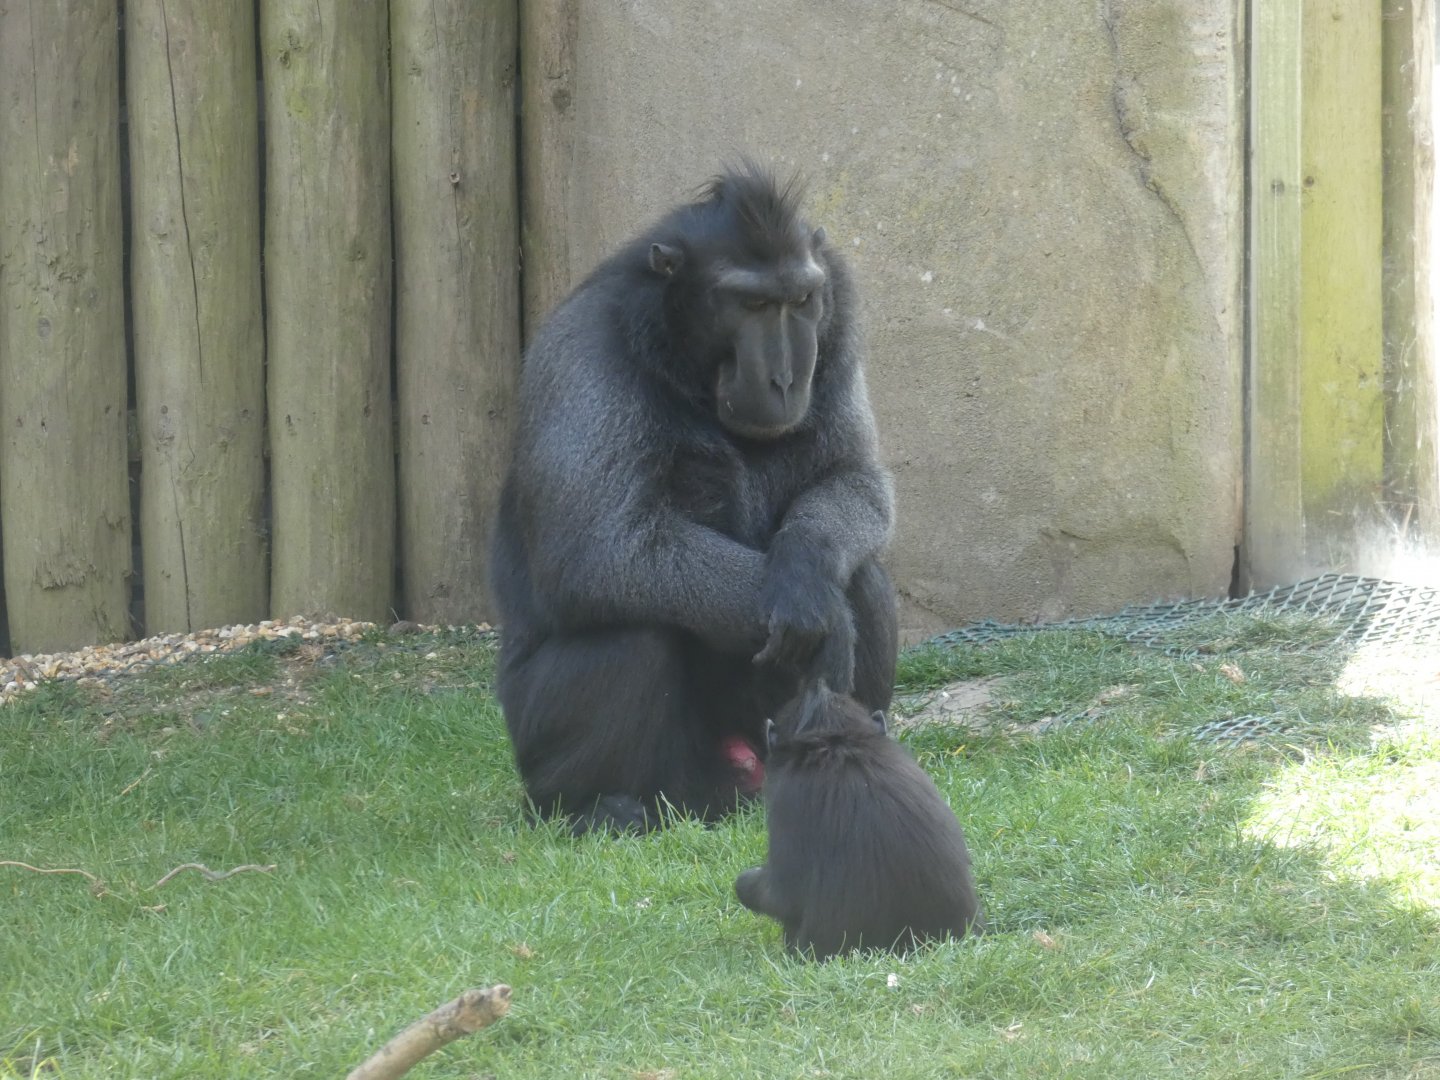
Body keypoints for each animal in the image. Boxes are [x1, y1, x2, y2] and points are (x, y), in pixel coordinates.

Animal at [489, 162, 898, 834]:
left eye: (801, 300)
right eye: (751, 304)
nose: (786, 378)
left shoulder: (836, 345)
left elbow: (854, 479)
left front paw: (804, 567)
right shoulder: (585, 355)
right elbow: (595, 551)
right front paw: (820, 614)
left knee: (862, 573)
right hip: (545, 743)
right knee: (634, 632)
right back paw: (597, 807)